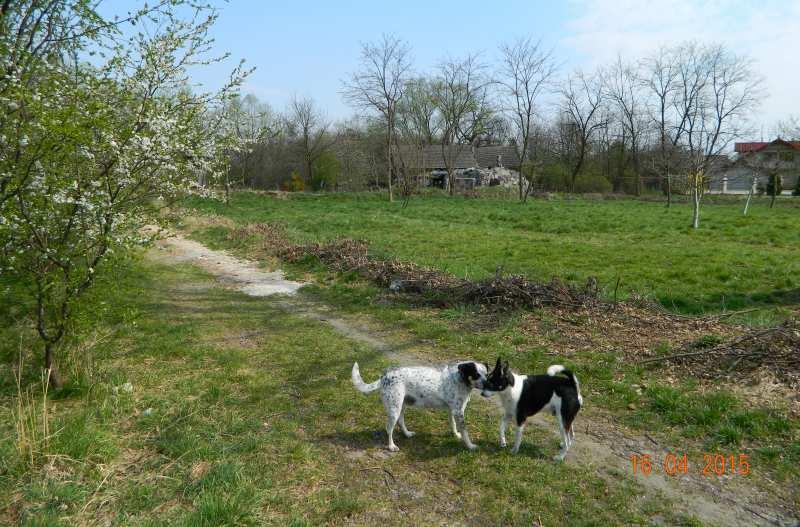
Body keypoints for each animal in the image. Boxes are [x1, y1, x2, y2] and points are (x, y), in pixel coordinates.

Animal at [352, 360, 488, 452]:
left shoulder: (453, 411)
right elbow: (465, 432)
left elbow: (453, 425)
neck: (460, 378)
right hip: (394, 409)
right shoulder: (458, 412)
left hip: (402, 406)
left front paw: (455, 435)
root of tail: (384, 377)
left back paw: (407, 434)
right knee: (389, 428)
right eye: (476, 374)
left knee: (400, 422)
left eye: (486, 374)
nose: (488, 383)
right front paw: (470, 446)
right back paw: (391, 446)